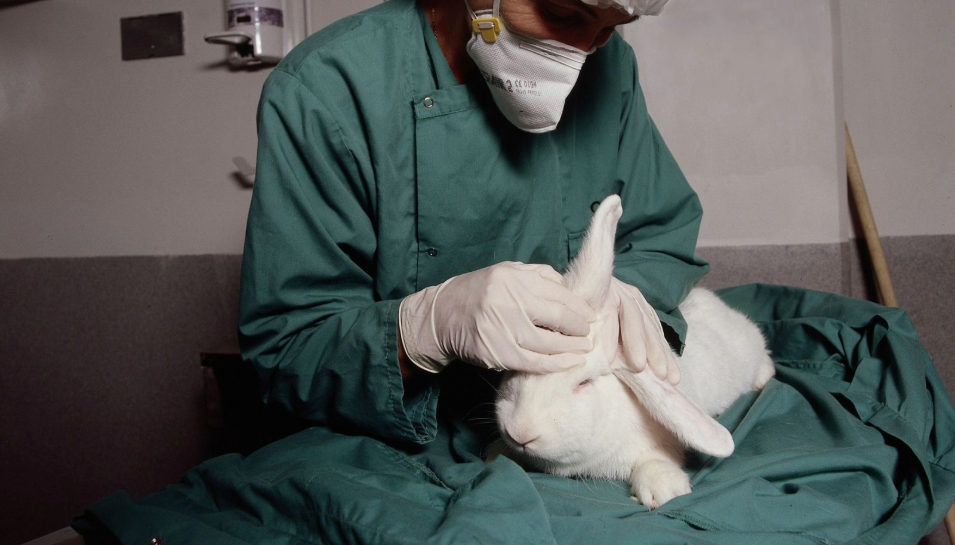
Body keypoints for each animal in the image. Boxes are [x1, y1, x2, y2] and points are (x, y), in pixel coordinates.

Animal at [493, 195, 775, 509]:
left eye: (584, 382)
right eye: (516, 370)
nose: (521, 432)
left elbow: (655, 459)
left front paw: (665, 491)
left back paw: (763, 379)